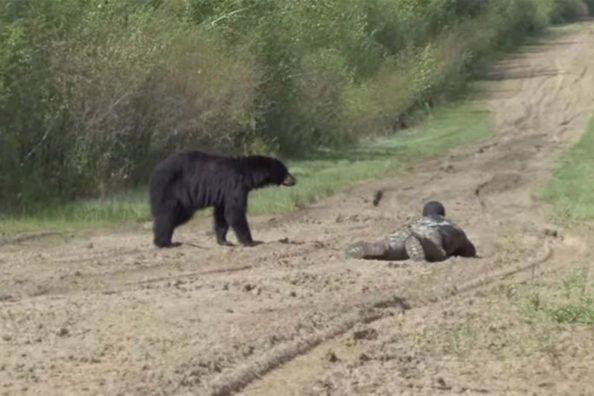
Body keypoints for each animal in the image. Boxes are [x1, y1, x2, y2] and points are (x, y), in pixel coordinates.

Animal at [149, 151, 294, 248]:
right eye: (285, 170)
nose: (294, 180)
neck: (247, 174)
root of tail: (155, 170)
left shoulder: (223, 195)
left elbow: (221, 215)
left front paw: (224, 241)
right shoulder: (234, 186)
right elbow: (235, 212)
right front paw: (251, 241)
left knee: (175, 216)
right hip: (169, 189)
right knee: (167, 214)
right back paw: (164, 242)